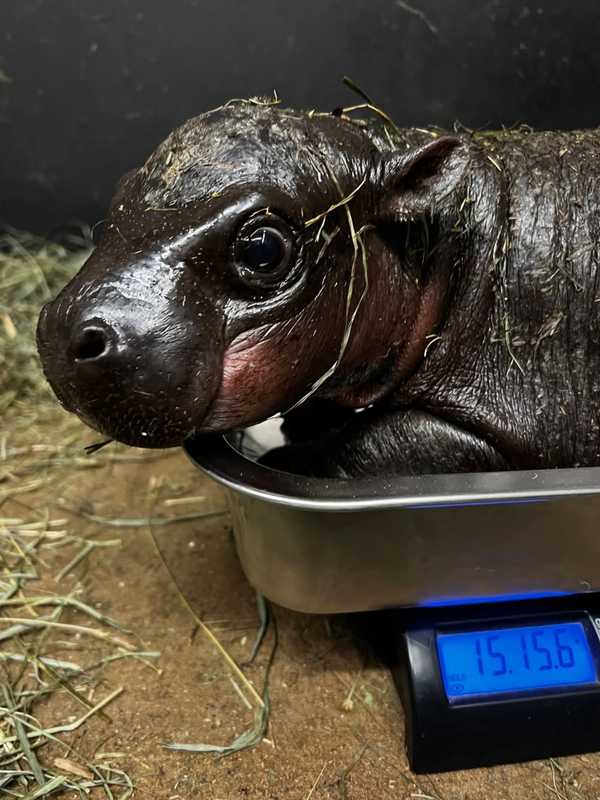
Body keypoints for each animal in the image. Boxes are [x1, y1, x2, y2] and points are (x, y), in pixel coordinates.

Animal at [36, 99, 600, 476]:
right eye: (121, 193)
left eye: (263, 248)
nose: (63, 329)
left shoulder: (499, 422)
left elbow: (377, 445)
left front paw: (285, 452)